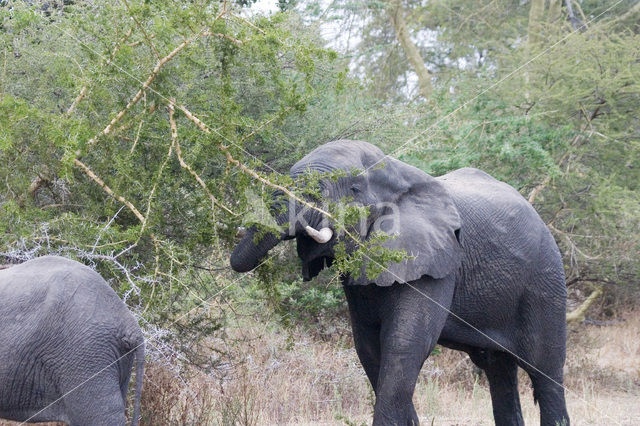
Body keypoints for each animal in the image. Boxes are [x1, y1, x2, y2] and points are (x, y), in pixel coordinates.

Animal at [231, 138, 568, 424]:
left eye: (354, 188)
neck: (399, 174)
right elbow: (368, 347)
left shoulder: (435, 261)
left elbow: (404, 343)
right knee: (499, 370)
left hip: (545, 277)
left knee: (545, 371)